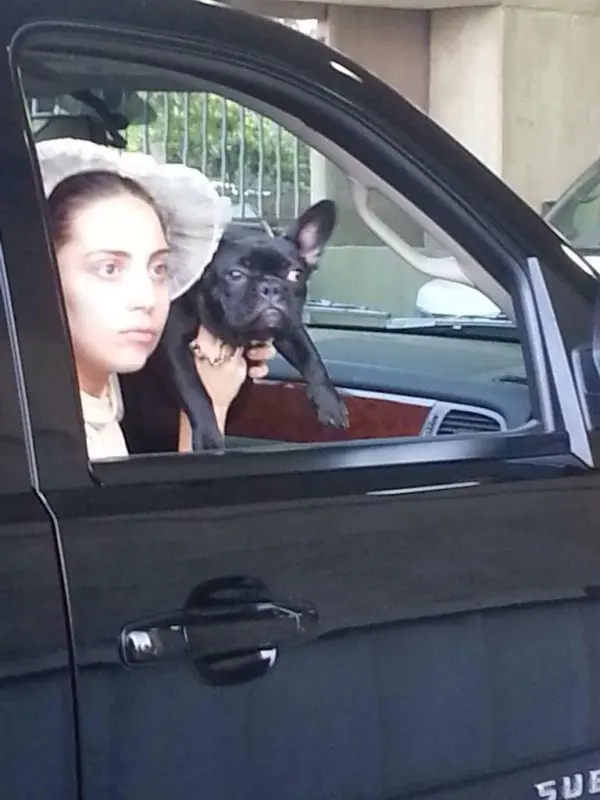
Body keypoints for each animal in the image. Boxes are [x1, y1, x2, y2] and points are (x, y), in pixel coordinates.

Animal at [119, 198, 346, 454]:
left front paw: (329, 401)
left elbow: (310, 356)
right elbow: (194, 388)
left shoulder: (289, 325)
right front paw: (208, 437)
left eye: (295, 274)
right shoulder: (173, 343)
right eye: (235, 275)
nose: (271, 287)